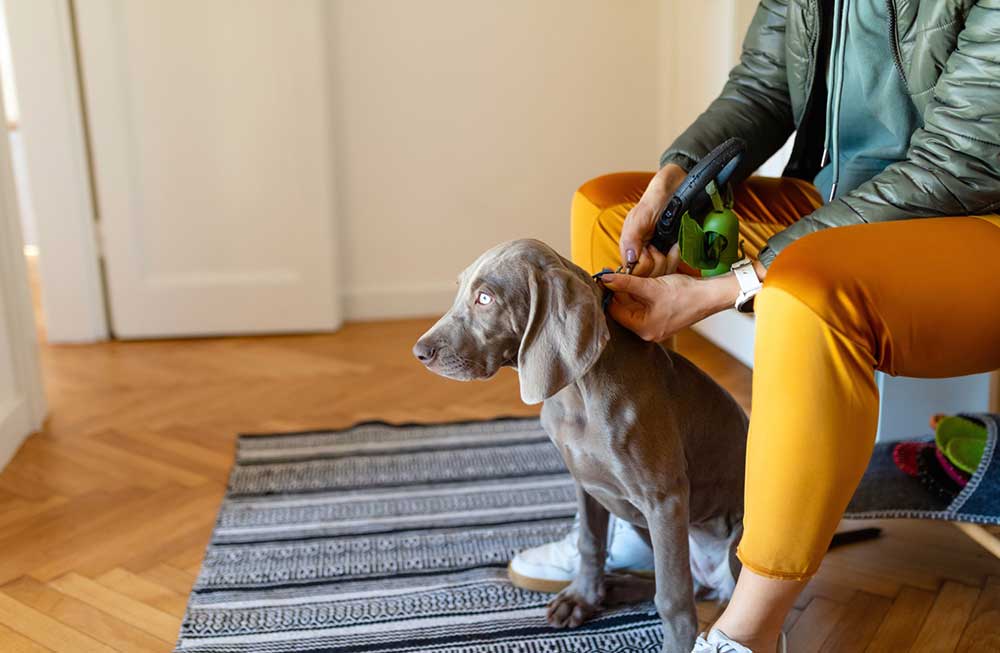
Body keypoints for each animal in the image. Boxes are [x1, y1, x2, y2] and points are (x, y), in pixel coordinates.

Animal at [410, 239, 748, 652]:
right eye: (460, 290)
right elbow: (590, 543)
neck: (577, 395)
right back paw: (615, 587)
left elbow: (672, 596)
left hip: (731, 536)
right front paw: (583, 598)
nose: (419, 352)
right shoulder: (586, 481)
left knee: (709, 592)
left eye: (485, 298)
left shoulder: (665, 500)